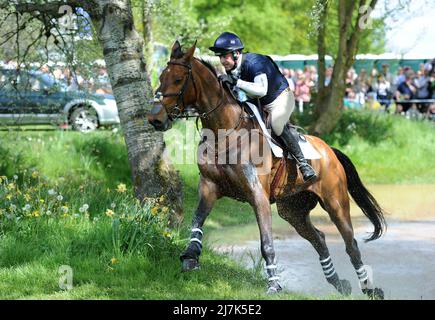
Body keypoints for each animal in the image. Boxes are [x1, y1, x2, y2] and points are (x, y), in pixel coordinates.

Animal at [148, 41, 386, 298]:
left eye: (178, 79)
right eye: (161, 77)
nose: (155, 119)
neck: (225, 133)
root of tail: (329, 151)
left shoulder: (258, 195)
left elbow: (266, 242)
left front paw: (274, 284)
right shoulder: (209, 186)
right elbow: (197, 222)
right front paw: (190, 256)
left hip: (335, 201)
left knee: (350, 244)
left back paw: (369, 288)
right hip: (293, 209)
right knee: (319, 239)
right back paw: (338, 282)